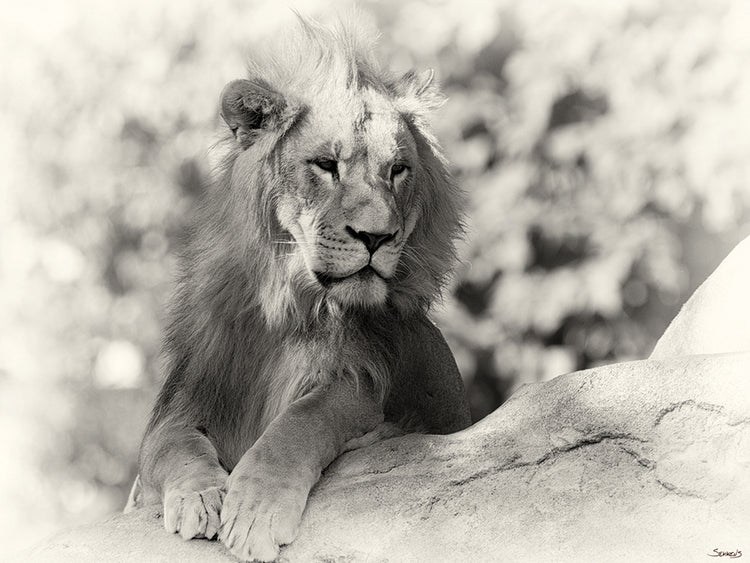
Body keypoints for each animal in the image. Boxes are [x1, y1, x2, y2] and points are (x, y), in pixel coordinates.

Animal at [127, 17, 470, 562]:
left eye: (398, 171)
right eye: (326, 165)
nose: (377, 237)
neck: (287, 304)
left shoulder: (357, 379)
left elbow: (299, 424)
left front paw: (254, 513)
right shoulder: (185, 398)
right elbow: (171, 446)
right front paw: (199, 497)